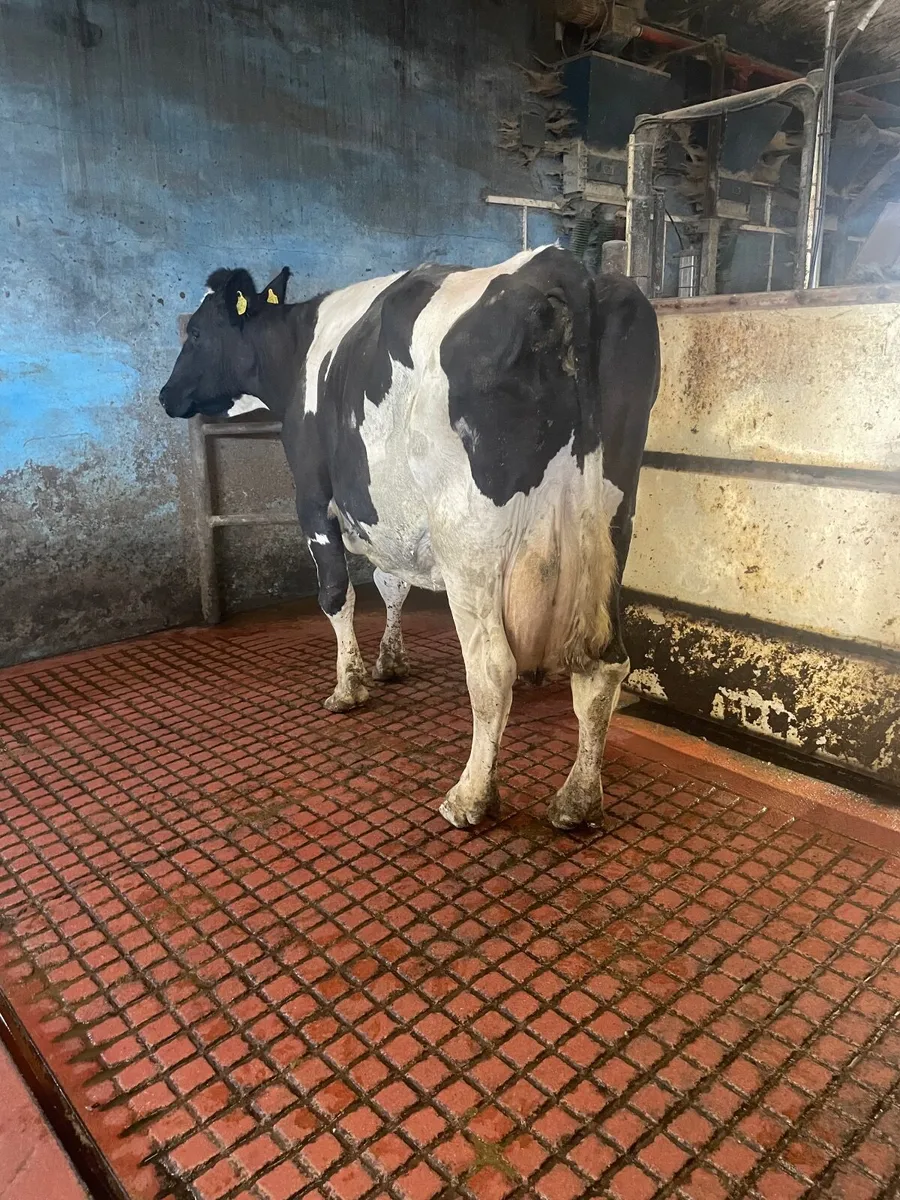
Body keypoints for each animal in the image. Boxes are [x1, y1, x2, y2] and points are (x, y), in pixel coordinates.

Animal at [159, 246, 659, 830]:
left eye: (195, 332)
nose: (165, 394)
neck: (300, 349)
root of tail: (560, 266)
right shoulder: (385, 516)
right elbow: (390, 582)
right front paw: (390, 662)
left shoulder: (312, 498)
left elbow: (337, 595)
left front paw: (348, 686)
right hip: (611, 527)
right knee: (606, 665)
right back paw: (577, 800)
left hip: (471, 543)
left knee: (492, 669)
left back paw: (470, 797)